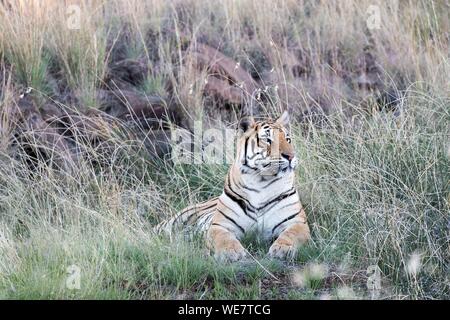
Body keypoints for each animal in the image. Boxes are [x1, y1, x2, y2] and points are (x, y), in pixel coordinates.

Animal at [157, 111, 310, 262]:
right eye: (268, 140)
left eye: (288, 139)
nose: (290, 156)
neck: (262, 181)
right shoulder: (220, 225)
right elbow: (224, 238)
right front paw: (231, 252)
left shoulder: (297, 222)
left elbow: (291, 234)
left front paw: (282, 249)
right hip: (174, 221)